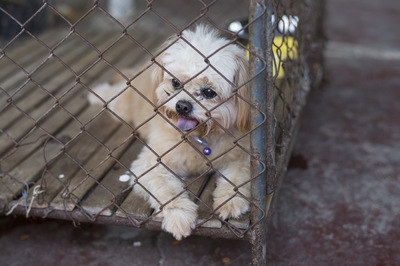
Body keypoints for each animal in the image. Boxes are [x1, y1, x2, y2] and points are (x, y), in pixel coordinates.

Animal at [88, 24, 250, 239]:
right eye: (175, 83)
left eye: (209, 92)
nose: (182, 106)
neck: (197, 137)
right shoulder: (151, 164)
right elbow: (167, 190)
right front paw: (179, 217)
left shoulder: (242, 156)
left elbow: (238, 179)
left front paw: (231, 202)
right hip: (120, 106)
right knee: (112, 95)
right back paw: (97, 93)